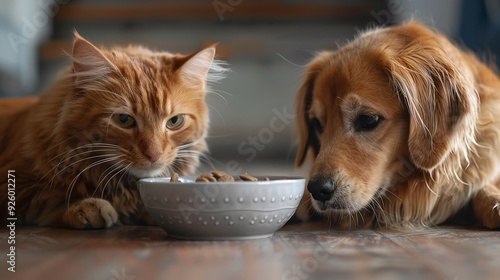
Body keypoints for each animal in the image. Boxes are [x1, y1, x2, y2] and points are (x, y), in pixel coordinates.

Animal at [0, 31, 227, 229]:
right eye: (124, 120)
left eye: (175, 121)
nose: (154, 155)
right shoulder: (14, 184)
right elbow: (47, 201)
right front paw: (86, 207)